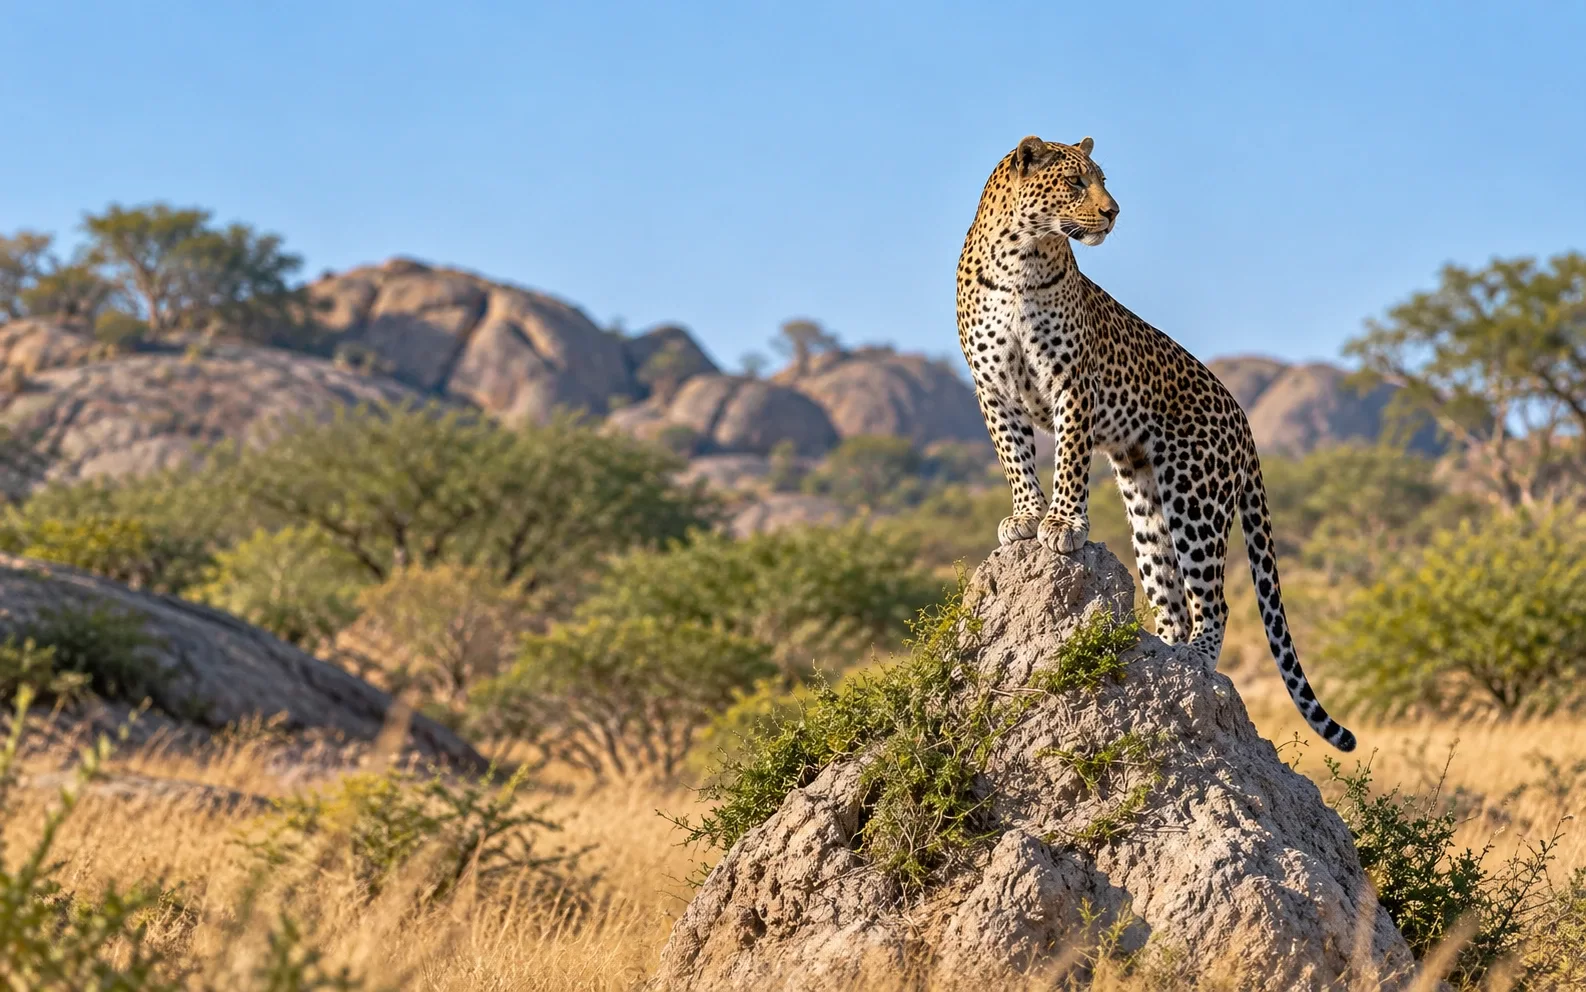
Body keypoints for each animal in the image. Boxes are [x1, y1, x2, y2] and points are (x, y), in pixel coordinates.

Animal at [956, 134, 1356, 752]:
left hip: (1196, 497)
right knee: (1173, 602)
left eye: (1102, 179)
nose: (1113, 212)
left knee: (1214, 602)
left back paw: (1194, 666)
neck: (1021, 258)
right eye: (1074, 182)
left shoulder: (1073, 382)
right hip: (1146, 499)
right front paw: (1025, 518)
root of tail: (1243, 418)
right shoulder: (991, 388)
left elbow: (1069, 460)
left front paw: (1063, 526)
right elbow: (1015, 458)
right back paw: (1164, 655)